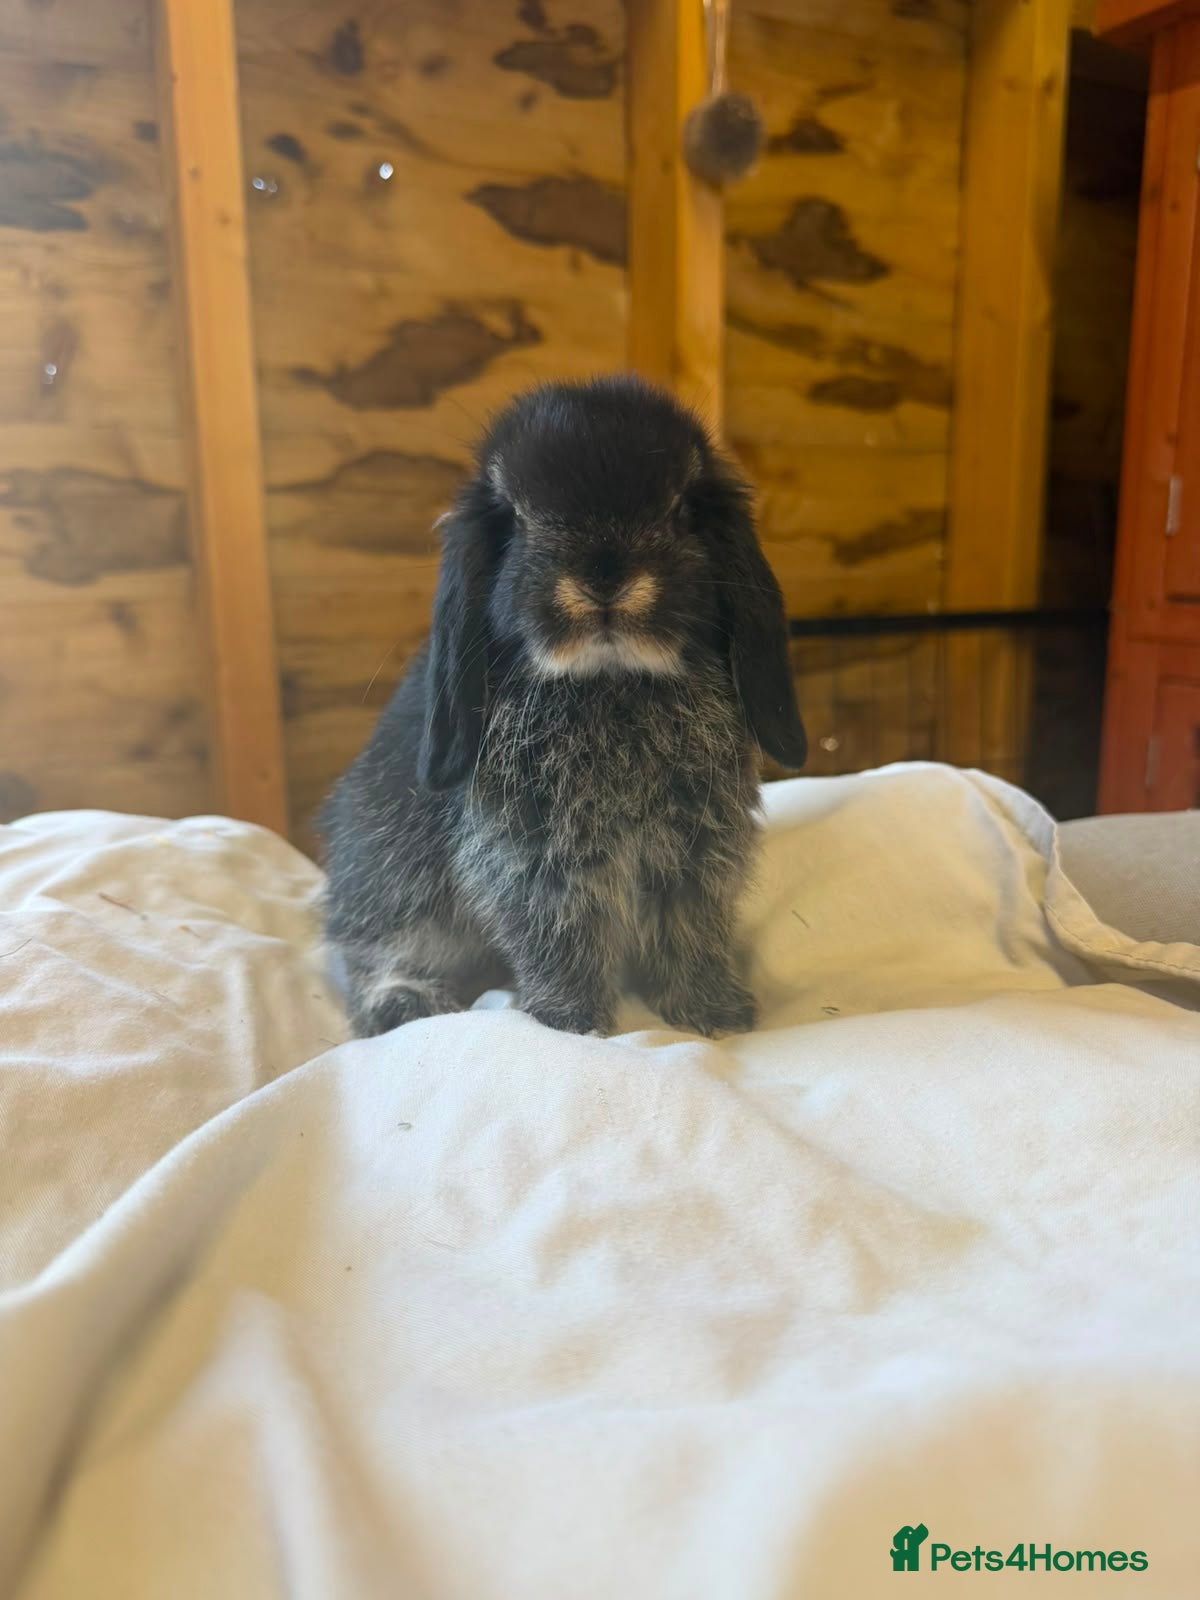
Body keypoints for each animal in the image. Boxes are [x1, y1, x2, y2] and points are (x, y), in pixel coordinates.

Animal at [318, 375, 806, 1039]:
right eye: (516, 520)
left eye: (682, 511)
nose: (604, 577)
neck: (611, 681)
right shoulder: (535, 858)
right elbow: (558, 937)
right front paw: (570, 1023)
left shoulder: (696, 850)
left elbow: (689, 930)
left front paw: (714, 1015)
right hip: (388, 871)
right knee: (373, 949)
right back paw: (406, 1005)